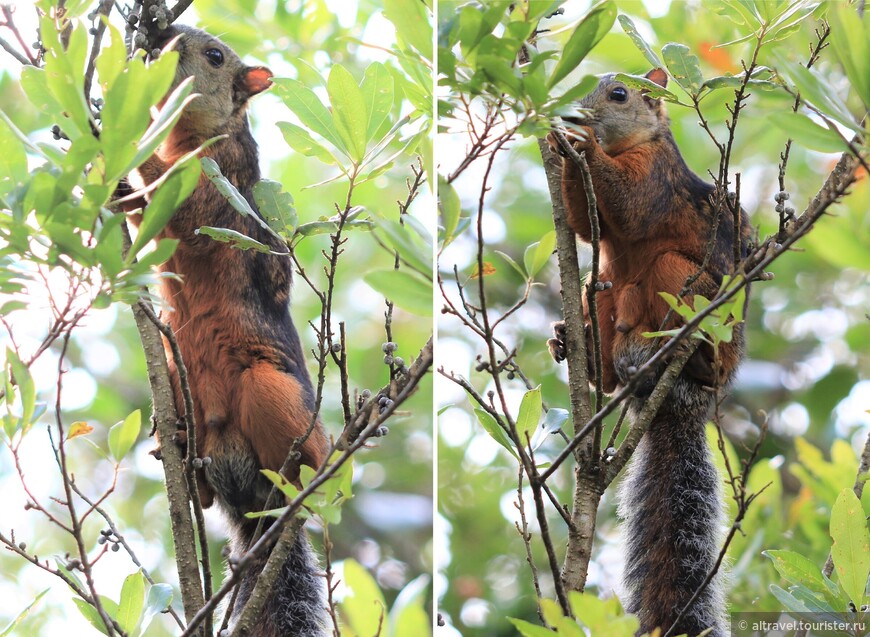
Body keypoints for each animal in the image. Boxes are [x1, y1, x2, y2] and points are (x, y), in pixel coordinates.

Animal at [127, 24, 332, 636]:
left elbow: (185, 211)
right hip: (180, 383)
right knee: (203, 494)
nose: (161, 39)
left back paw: (298, 487)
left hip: (273, 392)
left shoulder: (224, 180)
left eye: (215, 56)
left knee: (308, 466)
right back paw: (171, 447)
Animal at [548, 69, 752, 636]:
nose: (573, 110)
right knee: (605, 351)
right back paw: (575, 344)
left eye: (619, 94)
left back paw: (686, 355)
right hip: (605, 291)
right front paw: (556, 145)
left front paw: (579, 141)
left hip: (684, 284)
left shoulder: (656, 175)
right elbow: (583, 221)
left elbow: (631, 203)